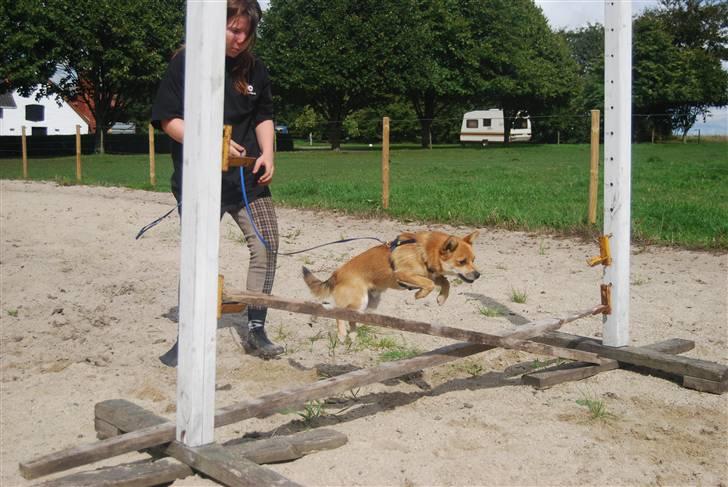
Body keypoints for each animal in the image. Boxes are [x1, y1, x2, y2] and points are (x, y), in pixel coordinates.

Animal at [298, 232, 480, 340]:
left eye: (473, 260)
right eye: (462, 261)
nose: (478, 274)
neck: (424, 251)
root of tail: (336, 274)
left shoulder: (432, 274)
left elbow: (445, 281)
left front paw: (442, 298)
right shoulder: (404, 274)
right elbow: (428, 284)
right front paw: (418, 295)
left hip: (367, 304)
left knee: (351, 316)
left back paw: (353, 335)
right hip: (358, 300)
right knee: (338, 312)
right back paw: (342, 334)